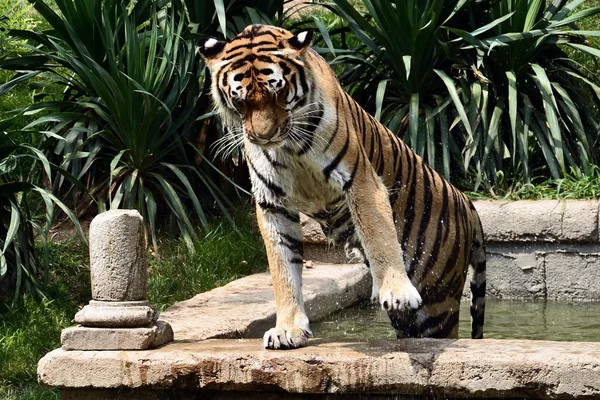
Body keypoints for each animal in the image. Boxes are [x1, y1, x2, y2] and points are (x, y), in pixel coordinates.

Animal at [197, 24, 488, 350]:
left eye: (279, 93)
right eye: (241, 101)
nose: (264, 135)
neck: (289, 147)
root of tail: (467, 203)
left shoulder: (361, 181)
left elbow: (378, 234)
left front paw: (397, 291)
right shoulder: (273, 203)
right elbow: (282, 268)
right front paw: (288, 328)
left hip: (439, 302)